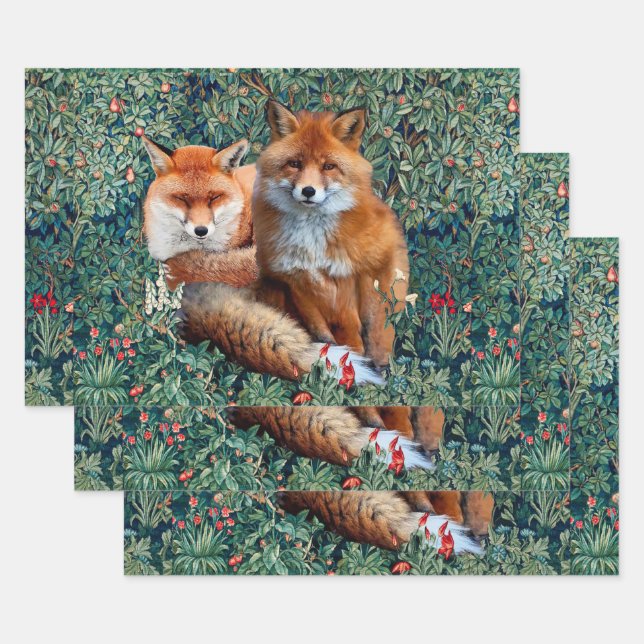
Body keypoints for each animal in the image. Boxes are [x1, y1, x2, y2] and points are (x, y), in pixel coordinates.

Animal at [178, 101, 409, 383]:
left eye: (328, 167)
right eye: (295, 164)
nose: (308, 191)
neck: (313, 243)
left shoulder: (358, 274)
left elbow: (362, 328)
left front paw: (363, 362)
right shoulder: (294, 281)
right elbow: (323, 333)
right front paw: (338, 362)